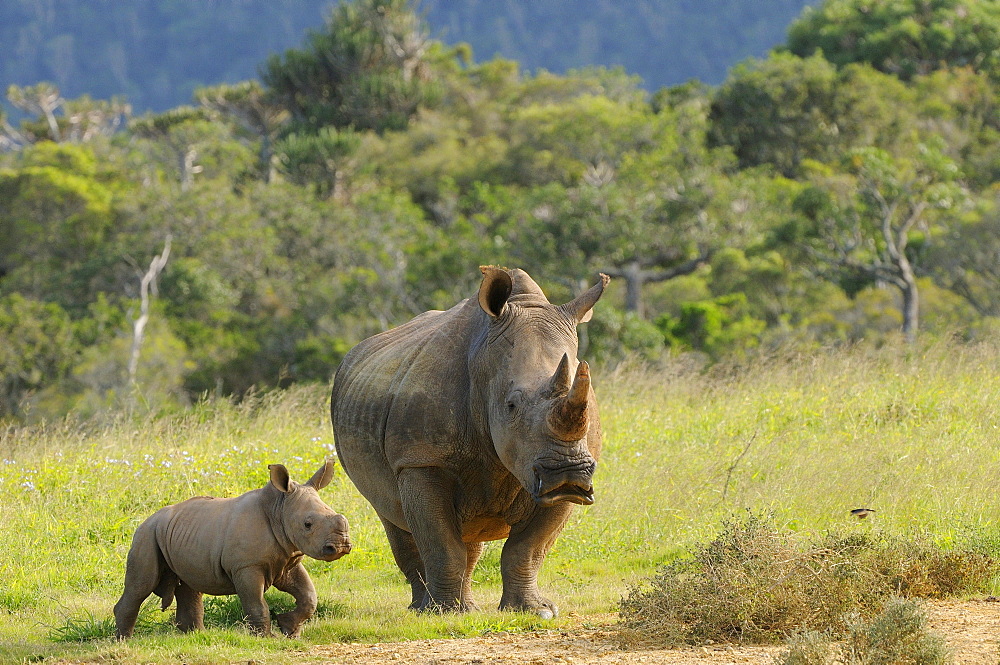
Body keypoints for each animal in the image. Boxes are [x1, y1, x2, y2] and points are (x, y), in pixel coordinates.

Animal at [113, 462, 352, 640]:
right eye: (307, 524)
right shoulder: (247, 567)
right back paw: (124, 640)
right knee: (141, 586)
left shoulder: (287, 559)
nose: (341, 546)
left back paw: (197, 636)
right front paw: (266, 638)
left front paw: (289, 630)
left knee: (189, 585)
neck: (279, 509)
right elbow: (256, 603)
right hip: (147, 535)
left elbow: (309, 596)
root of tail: (146, 520)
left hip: (178, 533)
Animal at [332, 266, 604, 616]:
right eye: (511, 405)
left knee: (470, 535)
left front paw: (535, 611)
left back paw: (466, 608)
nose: (568, 473)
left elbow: (529, 548)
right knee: (393, 517)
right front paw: (442, 614)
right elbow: (441, 544)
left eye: (586, 401)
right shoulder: (421, 460)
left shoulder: (564, 476)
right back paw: (426, 609)